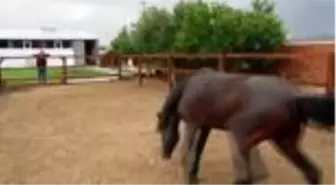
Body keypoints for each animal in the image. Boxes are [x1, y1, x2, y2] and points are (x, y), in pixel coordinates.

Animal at [156, 68, 334, 185]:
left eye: (161, 130)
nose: (164, 155)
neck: (188, 87)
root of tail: (293, 98)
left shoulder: (192, 124)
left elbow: (186, 152)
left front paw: (188, 177)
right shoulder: (205, 126)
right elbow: (198, 151)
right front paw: (194, 176)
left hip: (243, 140)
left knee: (248, 177)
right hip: (285, 143)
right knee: (312, 172)